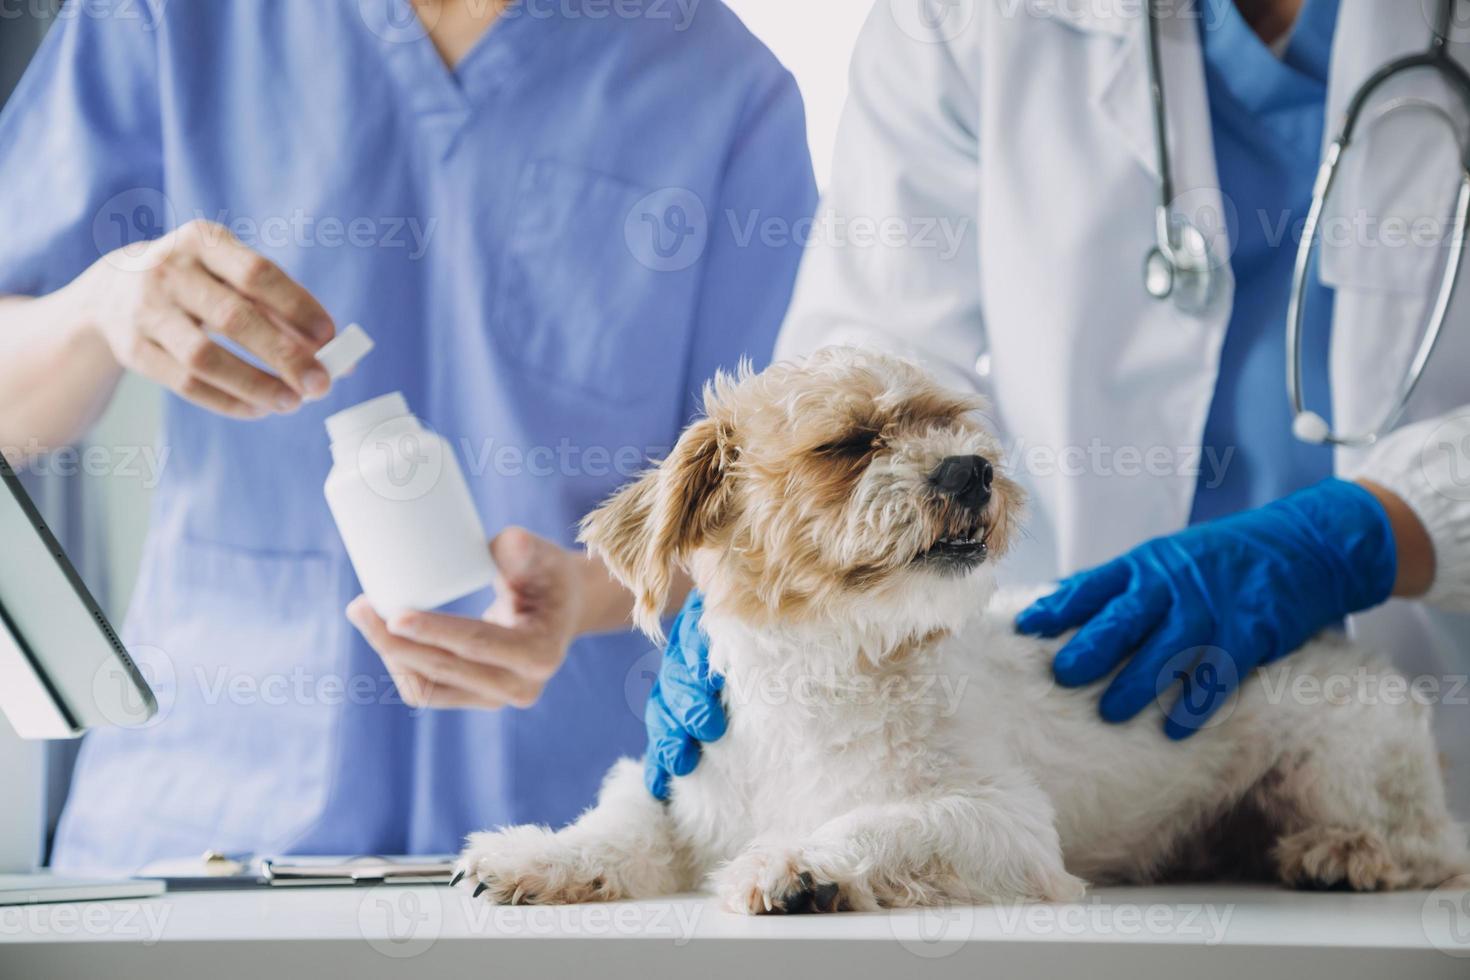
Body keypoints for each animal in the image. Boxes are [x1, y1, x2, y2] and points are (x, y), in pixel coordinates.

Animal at [452, 346, 1464, 910]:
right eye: (849, 443)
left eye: (952, 425)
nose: (970, 470)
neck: (819, 673)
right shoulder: (681, 788)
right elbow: (620, 830)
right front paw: (535, 855)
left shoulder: (1000, 823)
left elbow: (882, 824)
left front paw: (803, 862)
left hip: (1340, 763)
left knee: (1431, 848)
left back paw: (1344, 855)